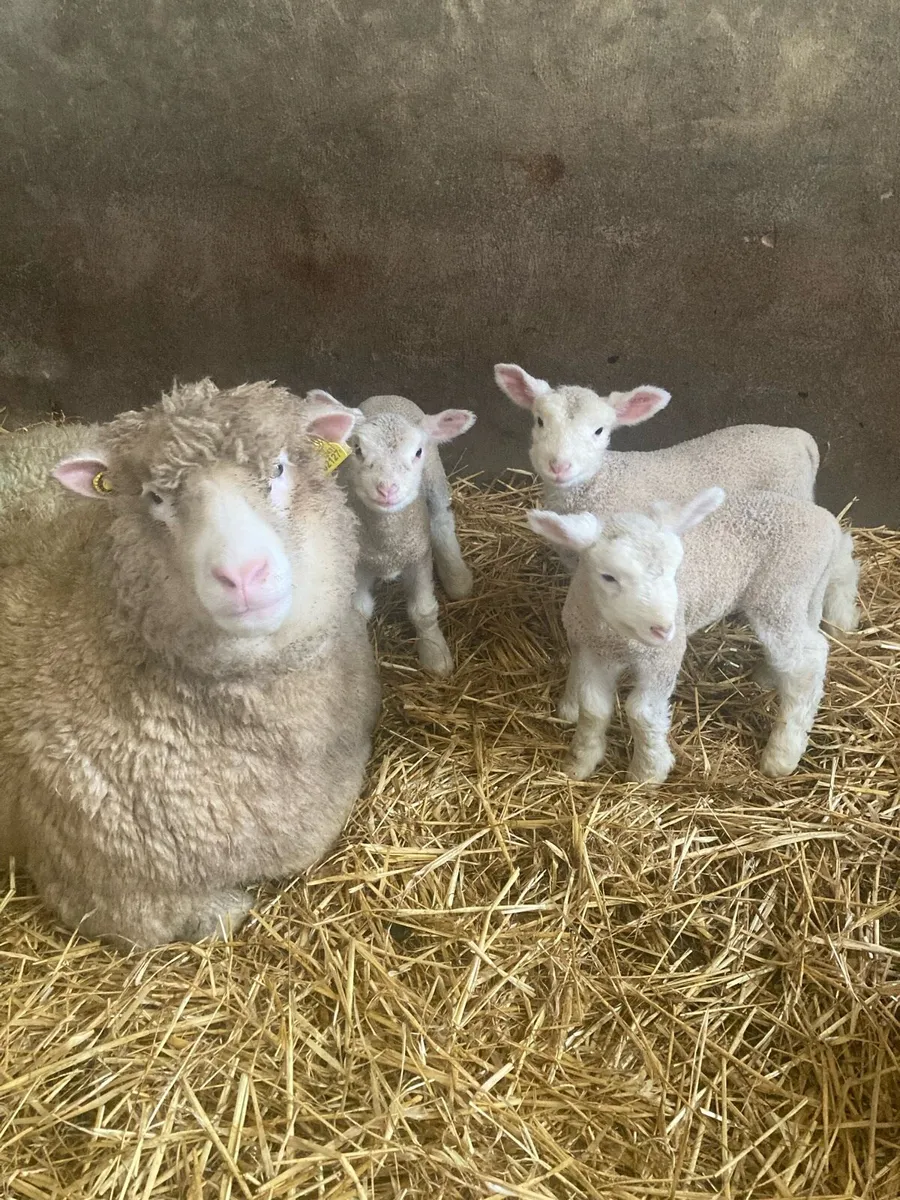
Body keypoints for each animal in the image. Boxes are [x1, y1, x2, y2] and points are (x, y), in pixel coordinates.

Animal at [338, 393, 476, 677]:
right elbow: (358, 611)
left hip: (435, 480)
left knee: (442, 520)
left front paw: (435, 656)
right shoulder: (358, 563)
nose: (386, 489)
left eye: (417, 451)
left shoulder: (418, 555)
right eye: (358, 450)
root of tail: (386, 396)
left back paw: (457, 579)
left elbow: (423, 612)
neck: (387, 545)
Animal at [527, 487, 860, 785]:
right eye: (608, 576)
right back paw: (768, 678)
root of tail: (827, 521)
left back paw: (782, 754)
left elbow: (642, 712)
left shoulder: (663, 657)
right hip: (801, 593)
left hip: (780, 593)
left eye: (676, 568)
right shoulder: (591, 650)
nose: (663, 628)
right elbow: (594, 709)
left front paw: (647, 772)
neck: (613, 633)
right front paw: (580, 762)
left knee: (807, 661)